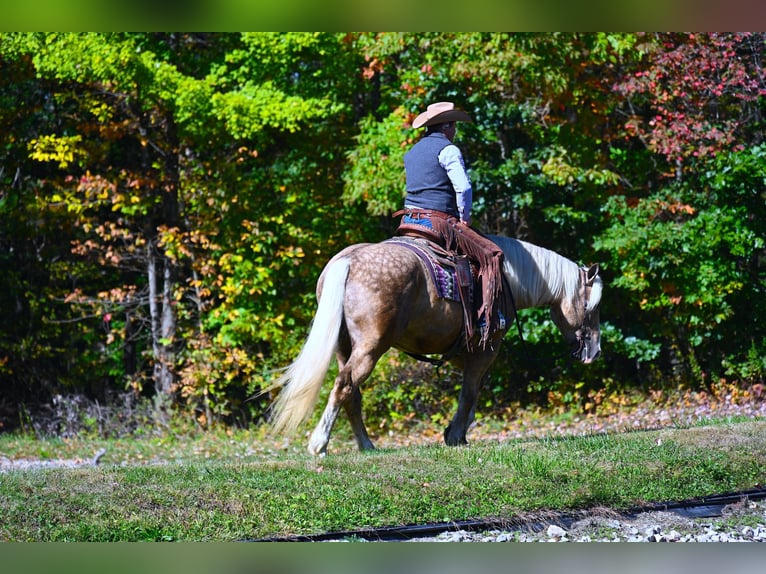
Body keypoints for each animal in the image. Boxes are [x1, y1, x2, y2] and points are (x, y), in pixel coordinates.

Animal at [268, 236, 604, 456]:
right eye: (592, 305)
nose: (595, 351)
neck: (509, 278)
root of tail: (347, 261)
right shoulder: (485, 350)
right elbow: (469, 392)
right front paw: (455, 435)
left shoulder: (463, 353)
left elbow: (473, 392)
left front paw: (458, 431)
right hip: (370, 349)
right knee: (344, 386)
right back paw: (319, 445)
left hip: (345, 349)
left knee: (352, 394)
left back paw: (366, 446)